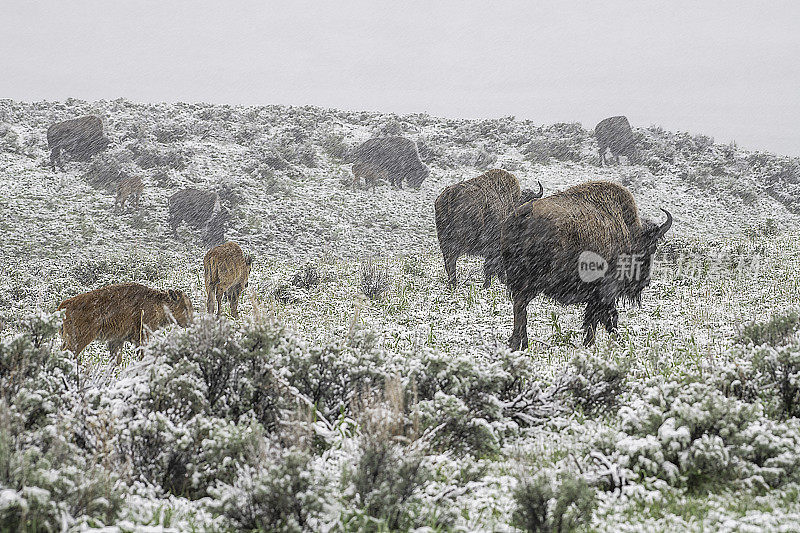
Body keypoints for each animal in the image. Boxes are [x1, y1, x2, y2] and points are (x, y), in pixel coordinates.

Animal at [58, 280, 194, 364]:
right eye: (185, 307)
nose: (191, 323)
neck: (158, 304)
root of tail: (65, 305)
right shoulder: (141, 337)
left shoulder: (117, 340)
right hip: (79, 340)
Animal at [504, 181, 672, 350]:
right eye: (652, 247)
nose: (645, 281)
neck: (630, 234)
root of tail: (524, 214)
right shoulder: (605, 292)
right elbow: (603, 318)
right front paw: (595, 344)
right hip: (531, 282)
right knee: (521, 305)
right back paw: (520, 343)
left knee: (519, 306)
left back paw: (518, 343)